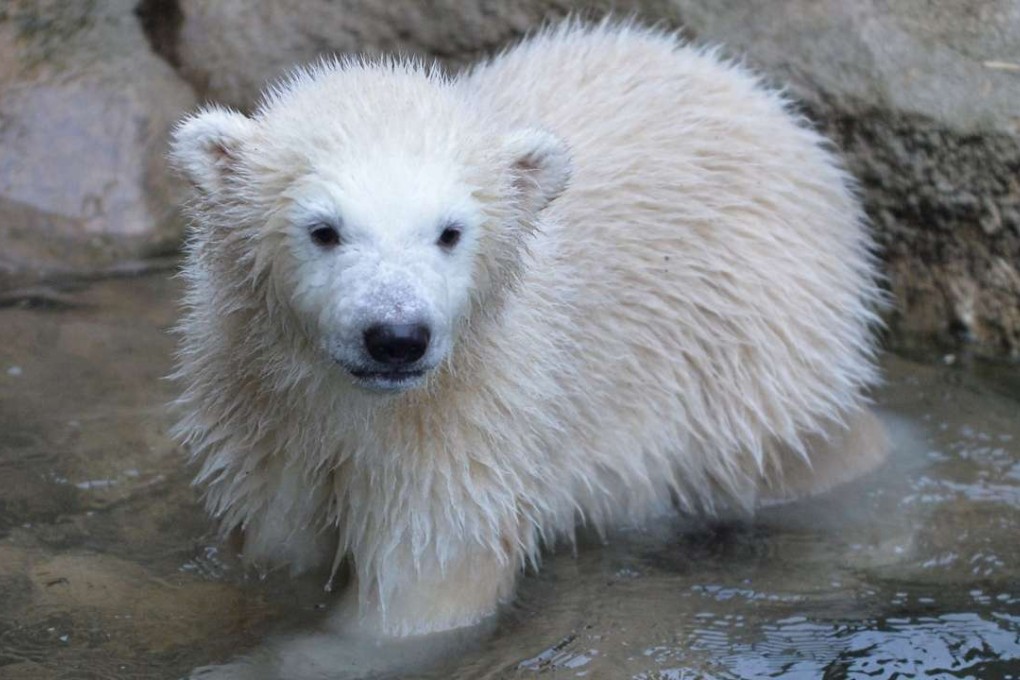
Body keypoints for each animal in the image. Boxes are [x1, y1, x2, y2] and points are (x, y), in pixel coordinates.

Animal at [169, 20, 888, 638]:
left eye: (450, 232)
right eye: (324, 229)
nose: (396, 337)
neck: (357, 405)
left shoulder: (474, 424)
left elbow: (427, 586)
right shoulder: (262, 418)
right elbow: (277, 544)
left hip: (752, 326)